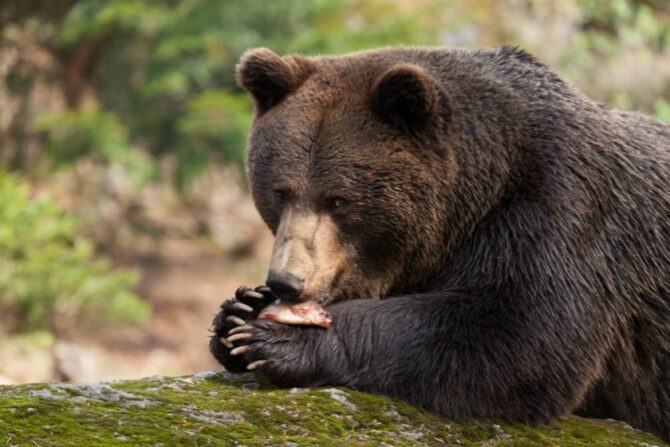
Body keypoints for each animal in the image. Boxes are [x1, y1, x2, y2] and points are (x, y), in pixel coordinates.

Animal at [211, 45, 670, 440]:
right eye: (280, 192)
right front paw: (238, 312)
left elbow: (519, 337)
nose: (286, 281)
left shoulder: (562, 209)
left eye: (338, 200)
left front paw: (278, 340)